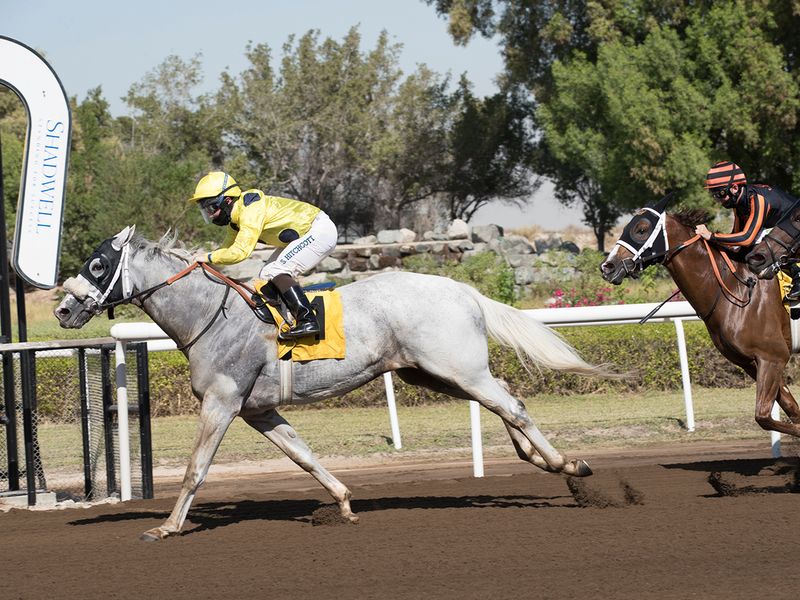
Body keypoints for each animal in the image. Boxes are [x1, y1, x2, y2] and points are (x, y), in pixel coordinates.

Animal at [56, 226, 608, 540]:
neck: (210, 315)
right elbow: (304, 456)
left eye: (98, 263)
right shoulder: (258, 410)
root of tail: (463, 289)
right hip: (434, 373)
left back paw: (570, 465)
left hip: (457, 368)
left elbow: (196, 469)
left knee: (512, 406)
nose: (62, 309)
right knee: (505, 402)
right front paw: (343, 502)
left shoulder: (222, 401)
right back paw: (543, 460)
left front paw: (167, 526)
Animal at [600, 197, 800, 436]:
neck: (735, 291)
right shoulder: (750, 362)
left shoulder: (773, 357)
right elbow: (791, 408)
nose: (607, 267)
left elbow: (763, 415)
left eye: (641, 229)